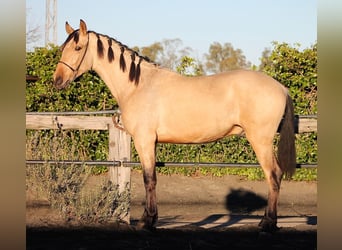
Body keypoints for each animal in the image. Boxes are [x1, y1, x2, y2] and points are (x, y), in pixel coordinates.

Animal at [52, 19, 296, 232]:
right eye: (63, 48)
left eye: (78, 47)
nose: (57, 81)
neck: (138, 85)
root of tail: (280, 88)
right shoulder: (150, 142)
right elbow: (151, 178)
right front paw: (149, 218)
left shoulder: (144, 140)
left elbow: (149, 179)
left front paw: (148, 222)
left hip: (260, 140)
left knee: (273, 175)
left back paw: (268, 223)